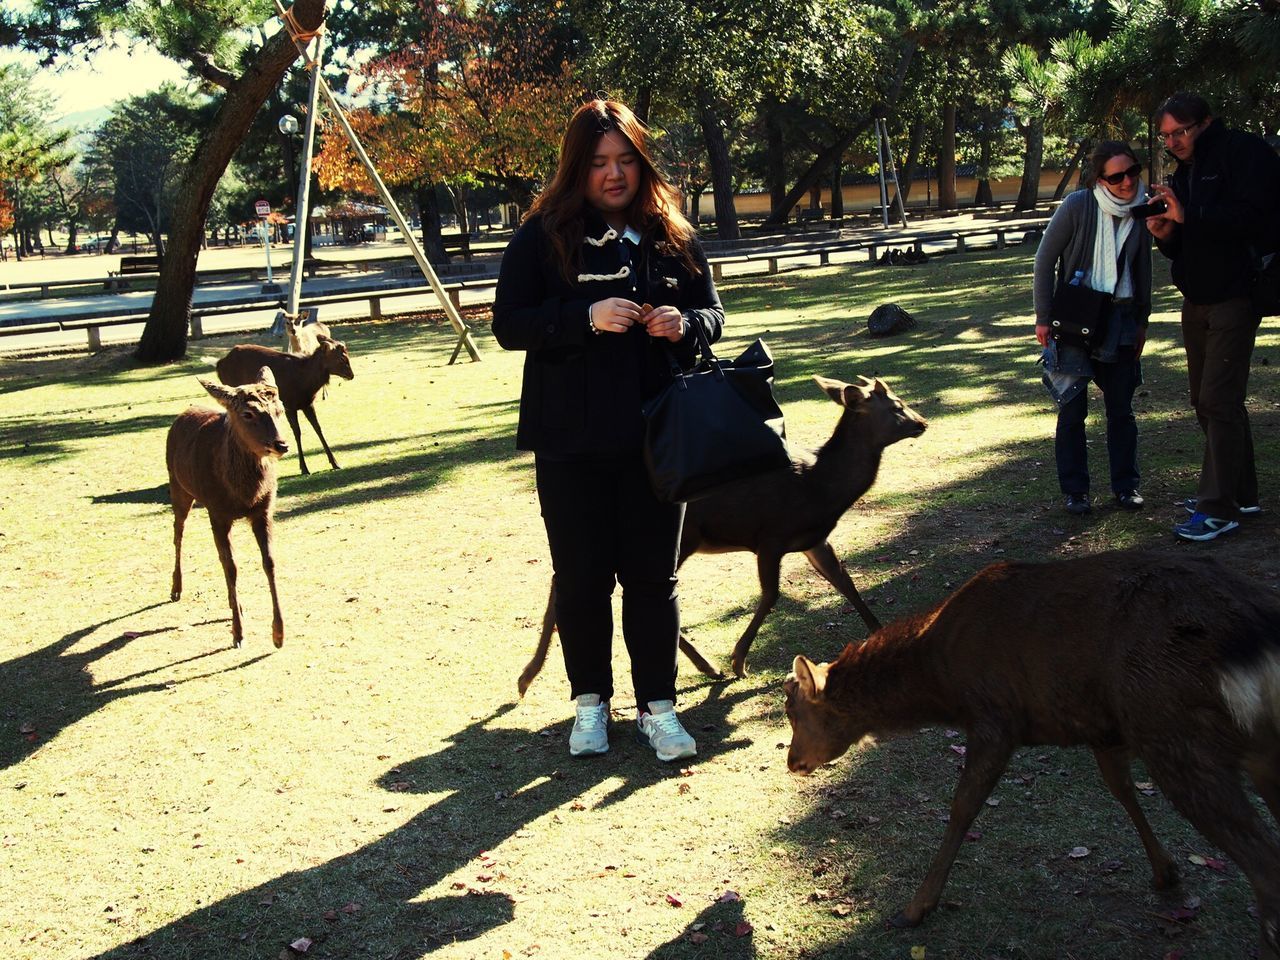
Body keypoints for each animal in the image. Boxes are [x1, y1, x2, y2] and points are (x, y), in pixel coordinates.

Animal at [167, 371, 290, 650]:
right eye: (248, 413)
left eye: (280, 409)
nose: (281, 444)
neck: (243, 494)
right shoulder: (217, 512)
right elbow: (231, 566)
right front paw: (238, 633)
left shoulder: (264, 510)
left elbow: (269, 561)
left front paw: (278, 634)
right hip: (177, 485)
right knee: (178, 532)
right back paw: (176, 588)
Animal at [216, 337, 353, 478]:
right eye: (341, 358)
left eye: (346, 355)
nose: (351, 374)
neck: (306, 383)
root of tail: (219, 364)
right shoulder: (289, 405)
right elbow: (297, 432)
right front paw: (304, 468)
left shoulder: (307, 404)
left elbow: (318, 428)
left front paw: (335, 463)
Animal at [514, 371, 926, 696]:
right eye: (896, 406)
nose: (922, 421)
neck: (823, 488)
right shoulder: (770, 536)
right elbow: (771, 595)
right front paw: (739, 661)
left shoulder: (813, 540)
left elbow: (845, 582)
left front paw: (882, 635)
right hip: (680, 537)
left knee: (565, 578)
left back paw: (528, 675)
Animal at [783, 547, 1280, 960]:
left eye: (794, 712)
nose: (792, 762)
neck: (942, 685)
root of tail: (1255, 639)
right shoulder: (1101, 727)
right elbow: (1121, 789)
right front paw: (1166, 872)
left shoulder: (995, 718)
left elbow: (962, 808)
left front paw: (915, 908)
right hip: (1248, 745)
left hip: (1173, 731)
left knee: (1263, 863)